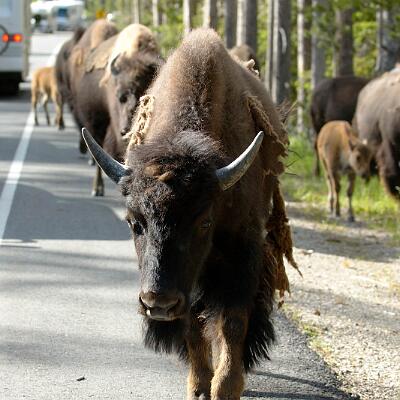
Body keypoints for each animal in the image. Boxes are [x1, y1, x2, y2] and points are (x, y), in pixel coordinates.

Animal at [82, 29, 297, 400]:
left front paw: (225, 387)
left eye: (203, 221)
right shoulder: (187, 286)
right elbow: (193, 326)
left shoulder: (242, 252)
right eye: (134, 222)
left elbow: (232, 320)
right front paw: (199, 385)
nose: (158, 302)